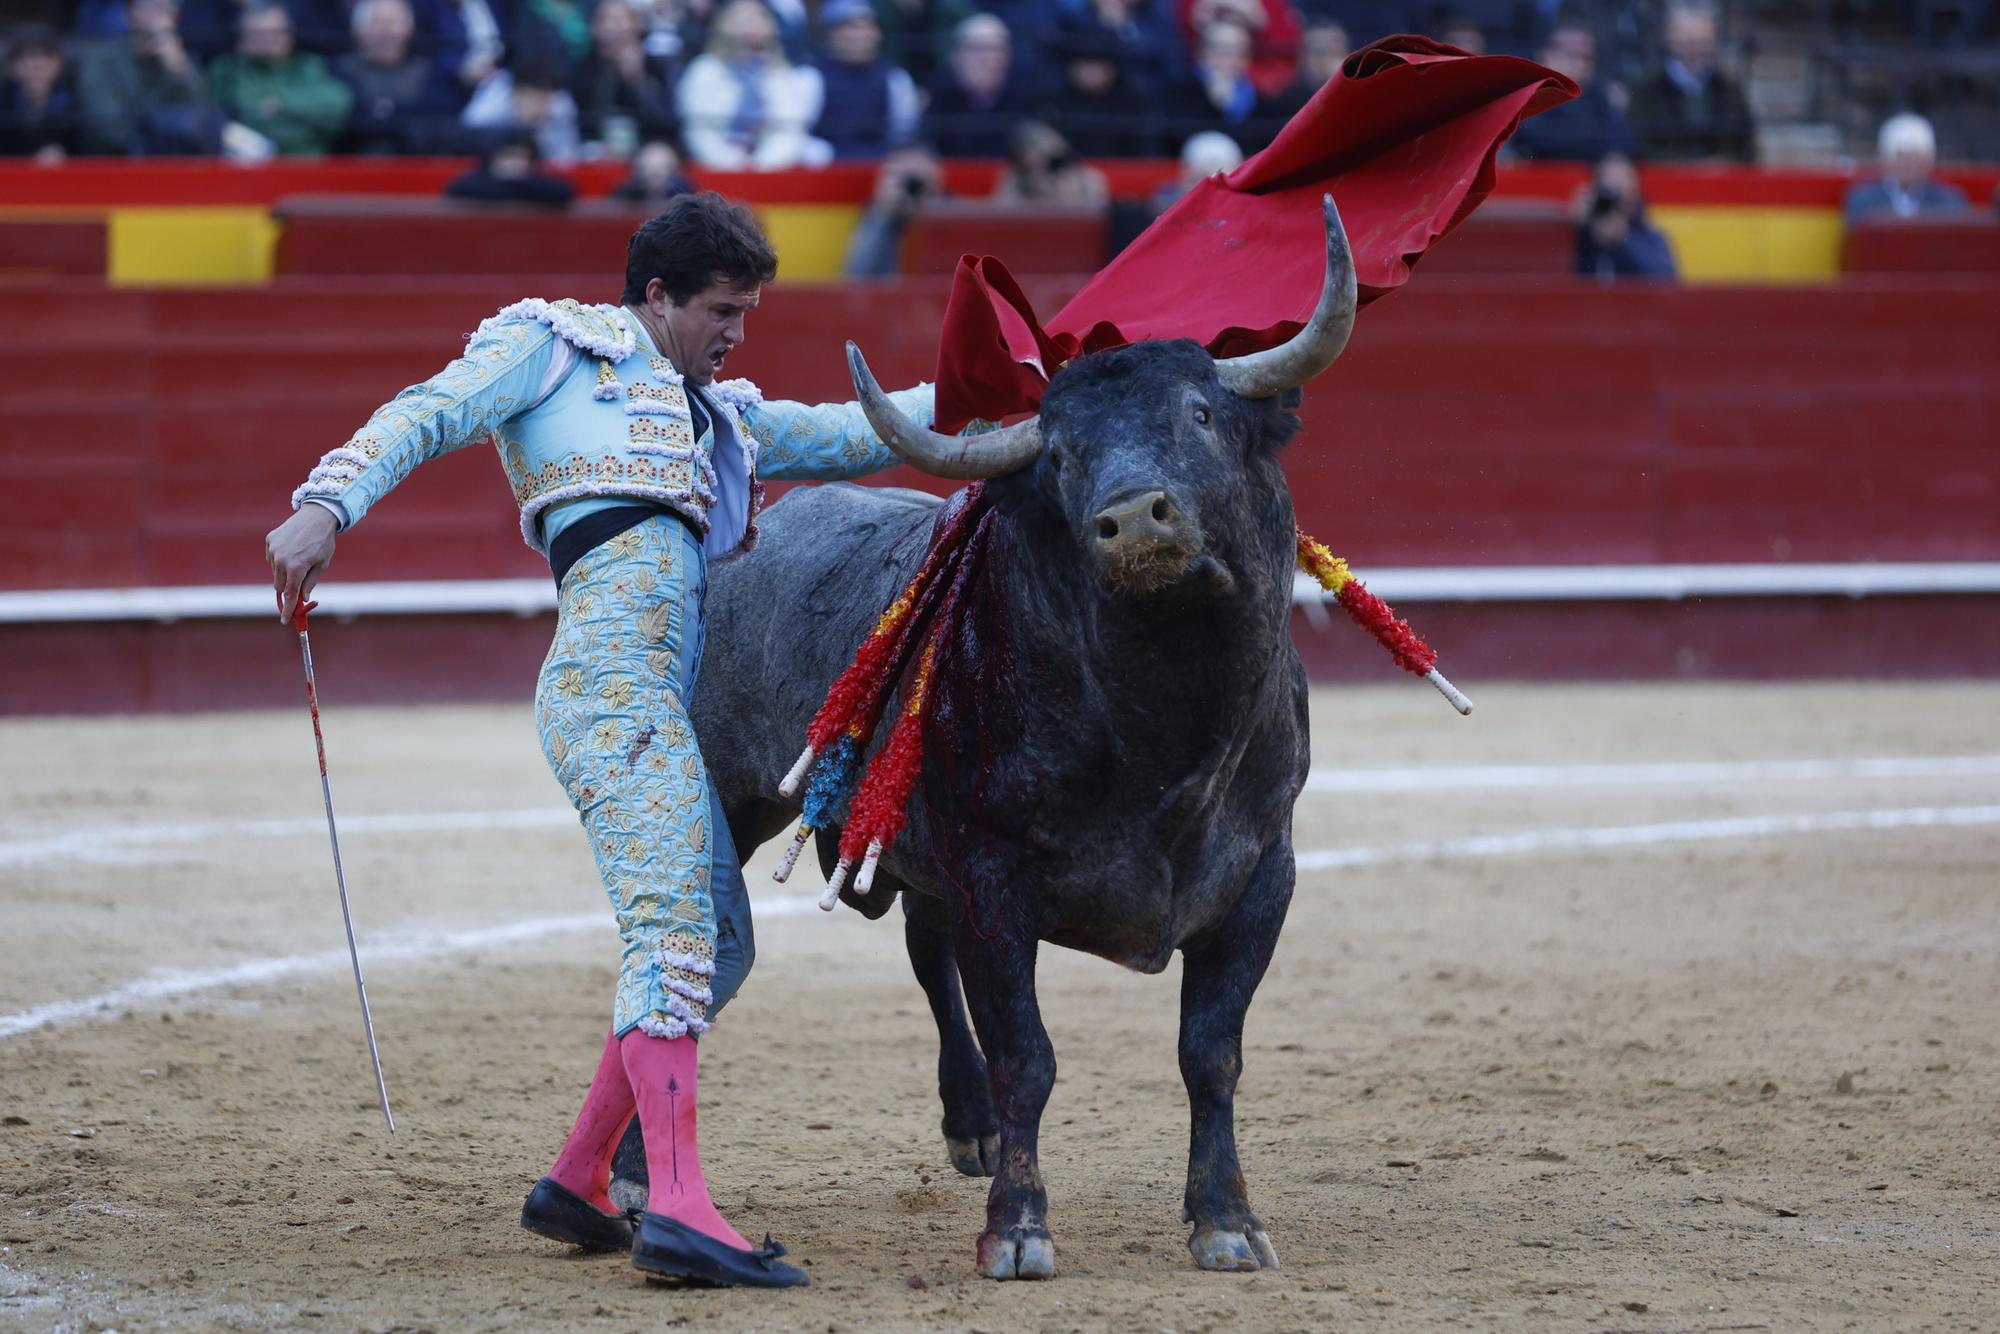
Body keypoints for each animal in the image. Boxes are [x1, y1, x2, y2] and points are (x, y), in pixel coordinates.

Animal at [632, 201, 1352, 1280]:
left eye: (1200, 413)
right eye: (1059, 456)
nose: (1134, 520)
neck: (1167, 721)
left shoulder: (1263, 875)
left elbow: (1209, 1050)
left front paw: (1226, 1219)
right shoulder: (991, 877)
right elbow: (1028, 1053)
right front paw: (1017, 1228)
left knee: (925, 953)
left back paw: (965, 1124)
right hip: (742, 798)